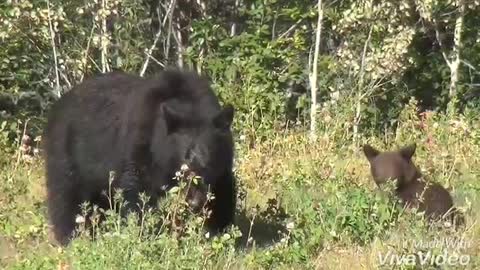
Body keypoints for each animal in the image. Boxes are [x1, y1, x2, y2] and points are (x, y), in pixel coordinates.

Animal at [44, 69, 235, 245]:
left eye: (211, 157)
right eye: (186, 156)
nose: (195, 201)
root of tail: (58, 104)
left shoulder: (223, 169)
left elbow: (223, 194)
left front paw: (218, 233)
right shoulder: (141, 144)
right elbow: (139, 192)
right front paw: (148, 233)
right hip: (67, 152)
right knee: (66, 196)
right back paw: (71, 237)